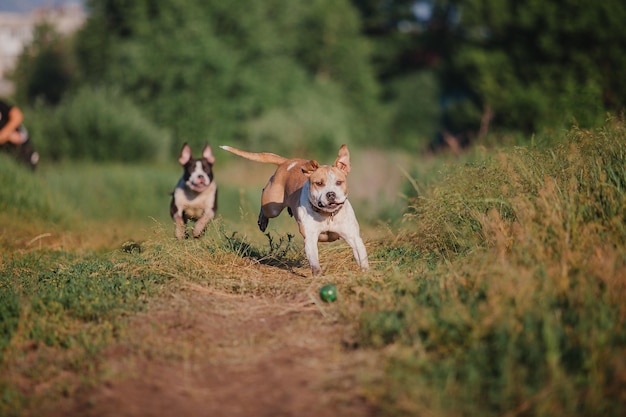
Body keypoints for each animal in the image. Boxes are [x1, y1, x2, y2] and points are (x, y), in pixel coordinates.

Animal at [219, 145, 366, 274]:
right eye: (319, 183)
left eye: (339, 182)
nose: (331, 194)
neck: (328, 215)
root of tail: (287, 162)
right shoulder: (310, 238)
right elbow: (314, 260)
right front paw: (318, 274)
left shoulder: (353, 237)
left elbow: (361, 255)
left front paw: (365, 273)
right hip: (272, 206)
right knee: (264, 200)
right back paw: (262, 221)